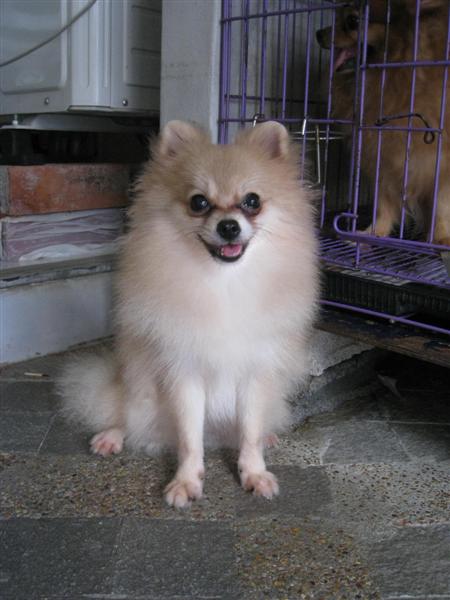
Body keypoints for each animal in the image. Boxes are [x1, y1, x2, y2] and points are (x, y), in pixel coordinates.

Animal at [58, 120, 319, 508]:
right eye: (199, 202)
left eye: (252, 201)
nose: (229, 226)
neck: (224, 285)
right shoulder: (185, 373)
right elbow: (189, 437)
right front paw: (186, 481)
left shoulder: (255, 373)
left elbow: (250, 432)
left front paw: (254, 473)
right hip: (137, 384)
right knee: (125, 411)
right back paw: (112, 436)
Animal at [316, 0, 450, 245]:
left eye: (352, 21)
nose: (318, 33)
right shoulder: (383, 160)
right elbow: (384, 204)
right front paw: (373, 233)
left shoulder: (441, 163)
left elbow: (442, 204)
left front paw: (442, 237)